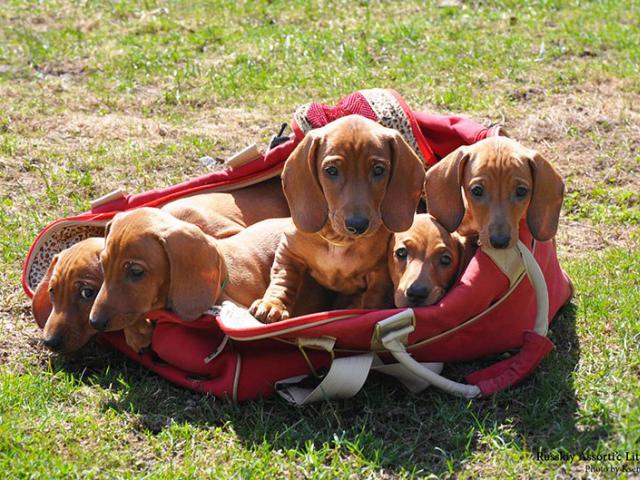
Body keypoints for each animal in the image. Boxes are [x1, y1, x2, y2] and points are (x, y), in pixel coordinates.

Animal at [250, 114, 424, 322]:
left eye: (379, 170)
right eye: (331, 171)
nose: (358, 225)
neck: (339, 241)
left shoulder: (380, 273)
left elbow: (375, 297)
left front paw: (367, 310)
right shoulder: (288, 252)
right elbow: (282, 279)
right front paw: (272, 304)